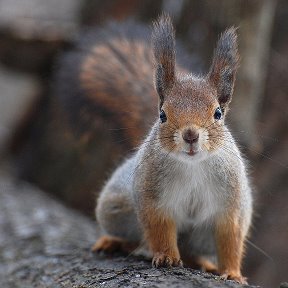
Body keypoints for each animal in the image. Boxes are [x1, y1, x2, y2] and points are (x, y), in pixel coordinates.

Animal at [90, 15, 252, 284]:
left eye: (218, 113)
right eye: (163, 115)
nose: (190, 135)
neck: (192, 165)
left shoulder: (230, 202)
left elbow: (230, 238)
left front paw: (232, 272)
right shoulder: (152, 195)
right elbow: (159, 229)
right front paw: (166, 257)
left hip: (200, 237)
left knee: (192, 251)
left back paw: (203, 263)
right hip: (115, 209)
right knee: (139, 238)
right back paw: (114, 242)